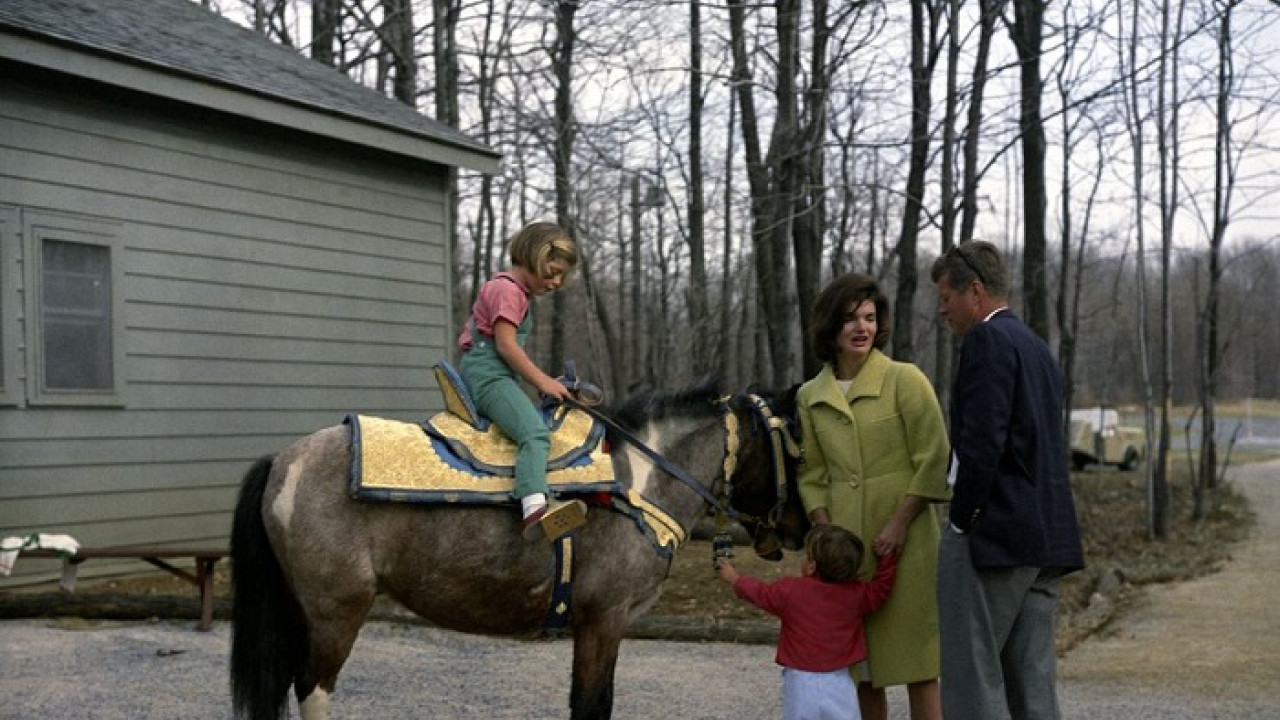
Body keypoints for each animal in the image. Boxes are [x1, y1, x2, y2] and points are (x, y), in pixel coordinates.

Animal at [229, 379, 803, 712]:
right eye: (794, 442)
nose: (798, 528)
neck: (637, 481)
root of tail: (282, 460)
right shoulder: (603, 619)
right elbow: (592, 704)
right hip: (335, 612)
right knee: (313, 689)